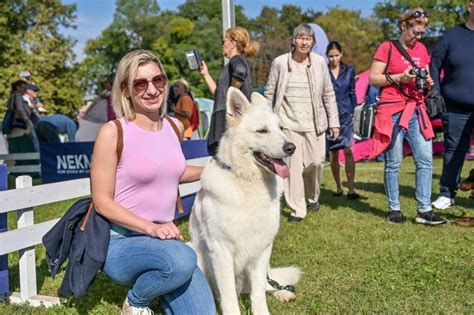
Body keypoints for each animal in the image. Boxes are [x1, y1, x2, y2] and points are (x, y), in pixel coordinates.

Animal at [188, 87, 300, 315]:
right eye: (262, 131)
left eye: (281, 128)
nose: (291, 147)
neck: (247, 183)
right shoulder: (221, 250)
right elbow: (229, 294)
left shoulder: (262, 248)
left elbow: (258, 293)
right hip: (194, 251)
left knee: (268, 284)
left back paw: (283, 292)